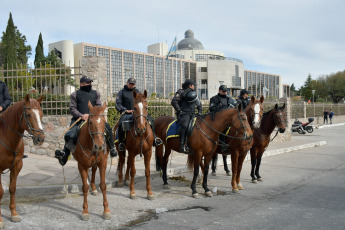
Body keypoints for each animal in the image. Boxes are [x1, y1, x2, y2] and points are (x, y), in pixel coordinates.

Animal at [0, 94, 44, 227]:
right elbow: (1, 191)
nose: (40, 139)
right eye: (28, 114)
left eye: (41, 113)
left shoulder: (17, 166)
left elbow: (12, 189)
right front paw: (0, 220)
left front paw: (14, 214)